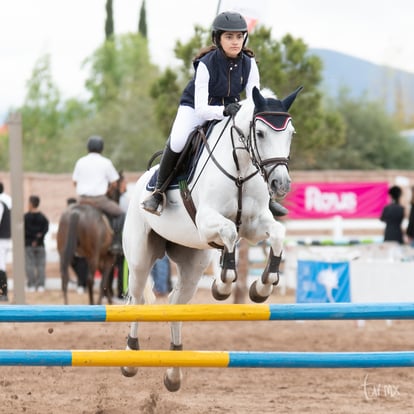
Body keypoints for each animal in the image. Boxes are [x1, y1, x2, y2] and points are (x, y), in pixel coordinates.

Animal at [121, 85, 302, 390]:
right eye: (260, 133)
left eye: (290, 133)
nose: (281, 185)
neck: (240, 169)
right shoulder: (206, 221)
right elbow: (229, 232)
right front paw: (223, 284)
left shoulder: (254, 225)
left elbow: (277, 234)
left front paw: (262, 285)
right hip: (139, 259)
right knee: (137, 301)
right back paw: (130, 358)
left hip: (192, 262)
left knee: (175, 304)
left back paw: (174, 371)